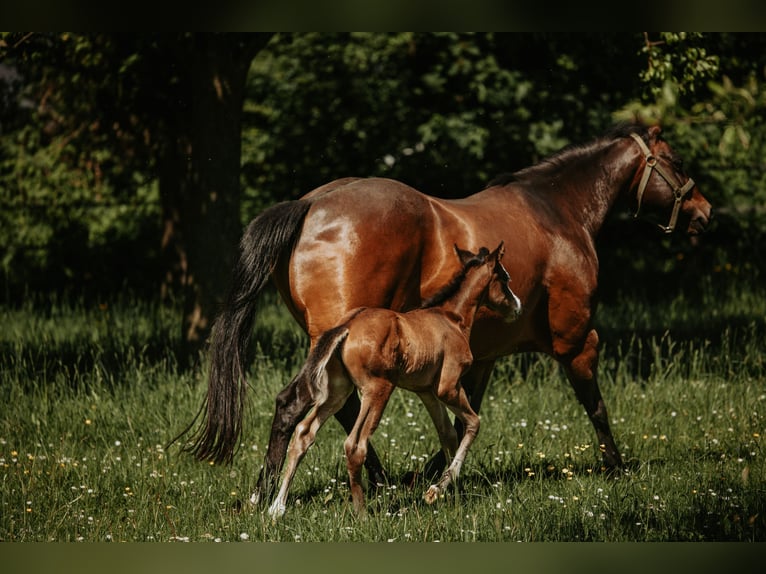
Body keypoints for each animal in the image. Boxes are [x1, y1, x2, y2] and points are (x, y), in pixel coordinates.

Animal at [267, 243, 522, 518]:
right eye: (505, 278)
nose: (517, 306)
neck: (452, 318)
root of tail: (346, 326)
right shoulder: (449, 387)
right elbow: (473, 423)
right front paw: (437, 490)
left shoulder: (426, 391)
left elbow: (447, 434)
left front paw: (453, 493)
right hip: (378, 389)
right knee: (354, 445)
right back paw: (362, 514)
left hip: (338, 392)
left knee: (304, 432)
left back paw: (277, 507)